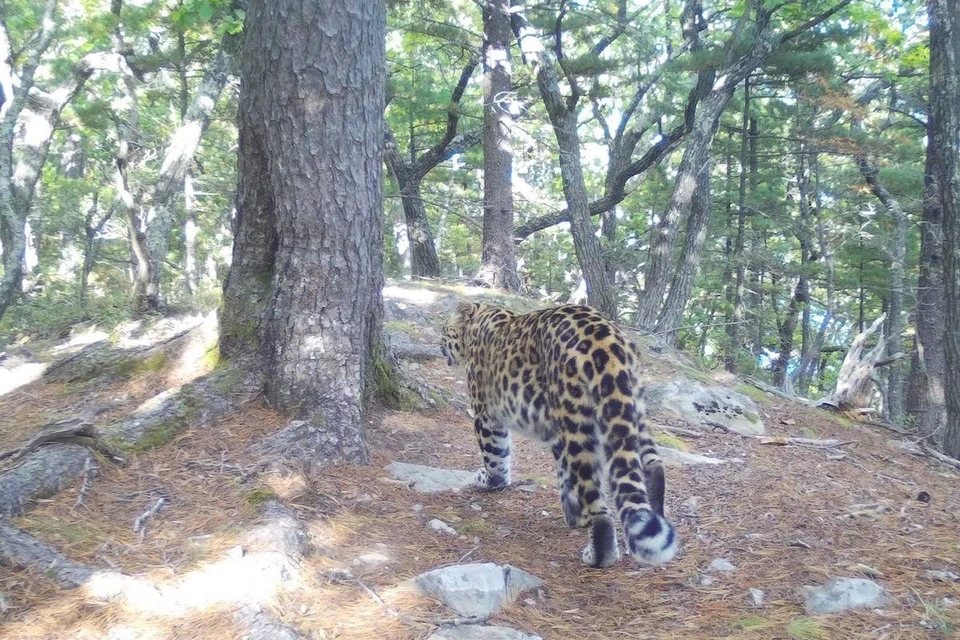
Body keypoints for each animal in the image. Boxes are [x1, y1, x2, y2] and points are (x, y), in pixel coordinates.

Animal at [438, 302, 680, 568]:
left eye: (444, 329)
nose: (438, 343)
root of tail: (608, 339)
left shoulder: (486, 414)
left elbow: (495, 456)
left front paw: (489, 481)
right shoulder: (554, 431)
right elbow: (563, 474)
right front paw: (573, 514)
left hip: (575, 421)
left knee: (597, 502)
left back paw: (598, 555)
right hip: (629, 408)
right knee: (651, 463)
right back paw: (654, 514)